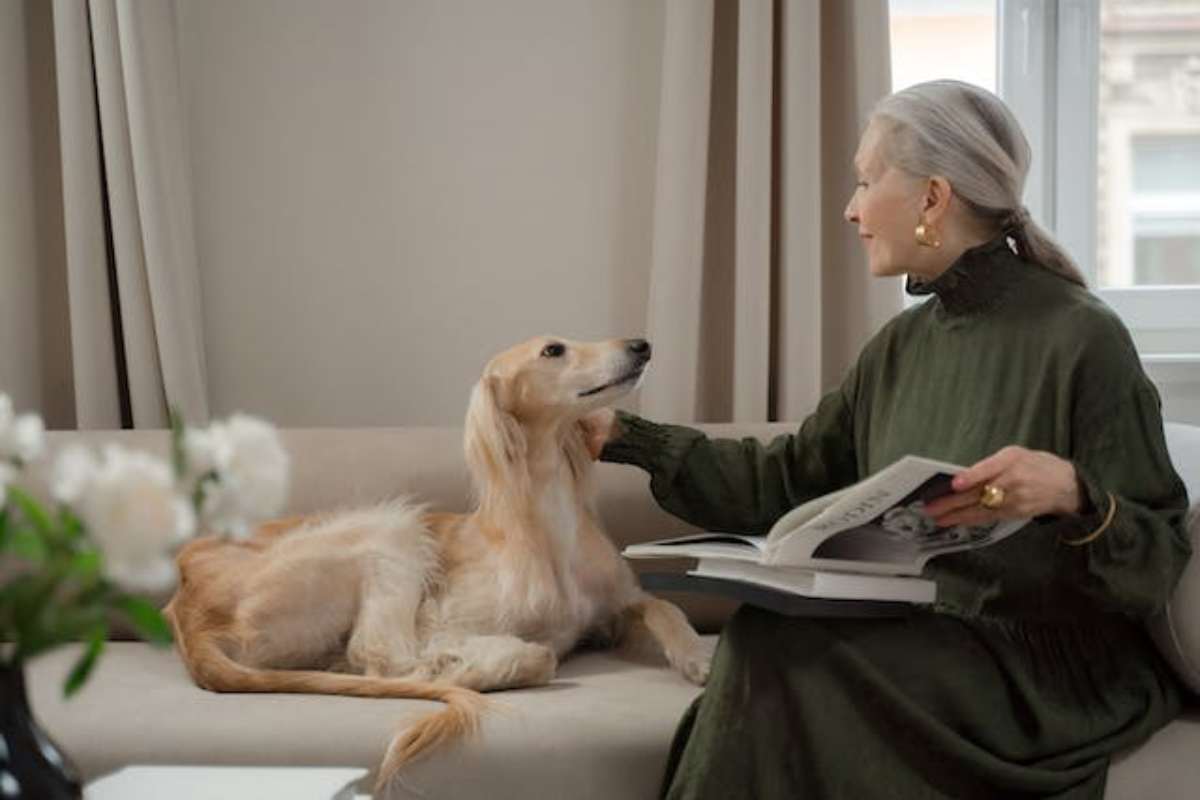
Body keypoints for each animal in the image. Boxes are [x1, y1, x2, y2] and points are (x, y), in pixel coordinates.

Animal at [159, 335, 700, 786]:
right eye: (553, 350)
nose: (641, 344)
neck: (549, 520)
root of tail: (186, 611)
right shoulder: (441, 623)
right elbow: (518, 651)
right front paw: (478, 660)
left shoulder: (617, 602)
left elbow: (663, 605)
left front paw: (694, 654)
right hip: (388, 528)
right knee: (382, 660)